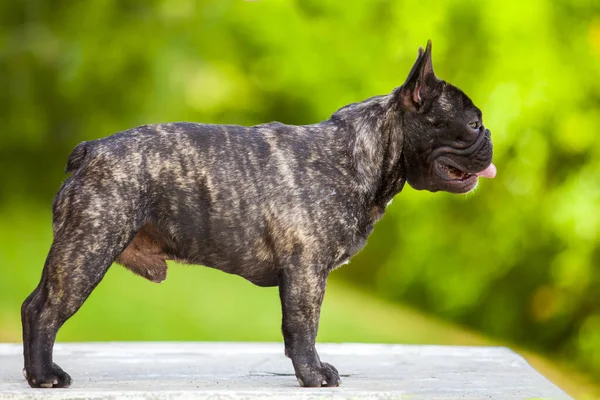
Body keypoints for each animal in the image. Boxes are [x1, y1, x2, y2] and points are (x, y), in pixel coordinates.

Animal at [21, 42, 494, 390]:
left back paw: (32, 374)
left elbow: (292, 329)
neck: (360, 155)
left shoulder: (300, 275)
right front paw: (314, 375)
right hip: (89, 248)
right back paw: (46, 376)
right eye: (472, 124)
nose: (488, 134)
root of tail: (91, 150)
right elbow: (305, 326)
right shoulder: (306, 272)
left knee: (30, 305)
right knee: (45, 310)